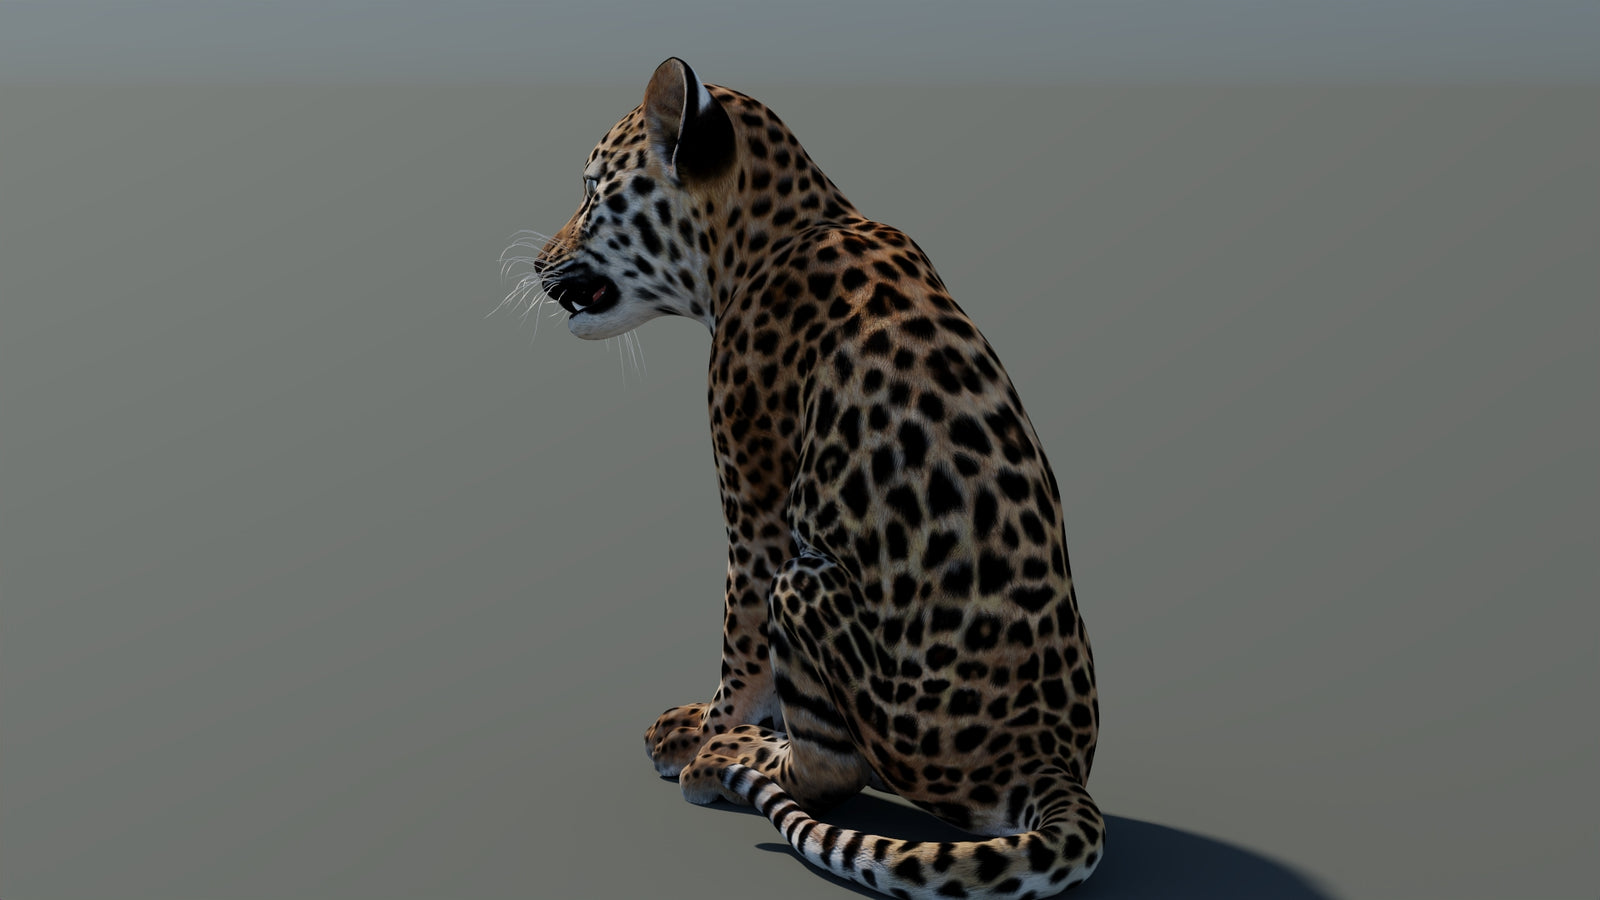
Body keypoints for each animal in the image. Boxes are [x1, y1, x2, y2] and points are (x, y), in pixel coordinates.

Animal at [526, 58, 1103, 899]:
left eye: (594, 194)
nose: (537, 262)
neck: (766, 233)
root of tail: (1055, 761)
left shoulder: (758, 503)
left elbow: (739, 638)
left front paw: (714, 731)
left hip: (809, 579)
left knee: (835, 771)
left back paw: (734, 760)